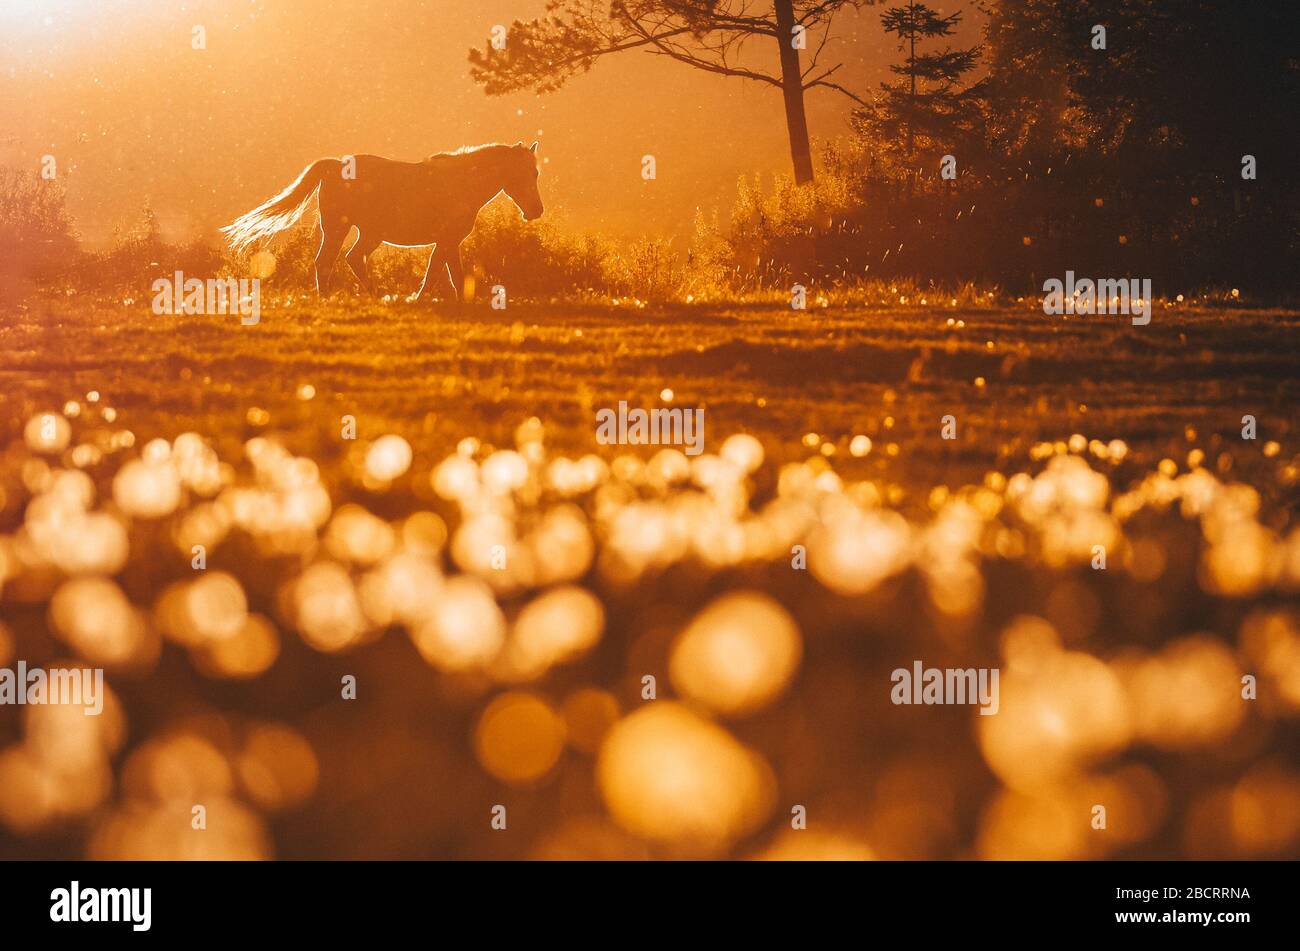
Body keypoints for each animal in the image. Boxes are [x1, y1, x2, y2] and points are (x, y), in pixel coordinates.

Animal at [222, 142, 543, 301]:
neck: (462, 183)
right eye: (529, 173)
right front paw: (418, 299)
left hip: (363, 232)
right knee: (329, 261)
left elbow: (450, 273)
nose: (536, 211)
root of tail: (336, 165)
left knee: (346, 259)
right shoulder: (446, 241)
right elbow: (439, 273)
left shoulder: (449, 243)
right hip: (343, 229)